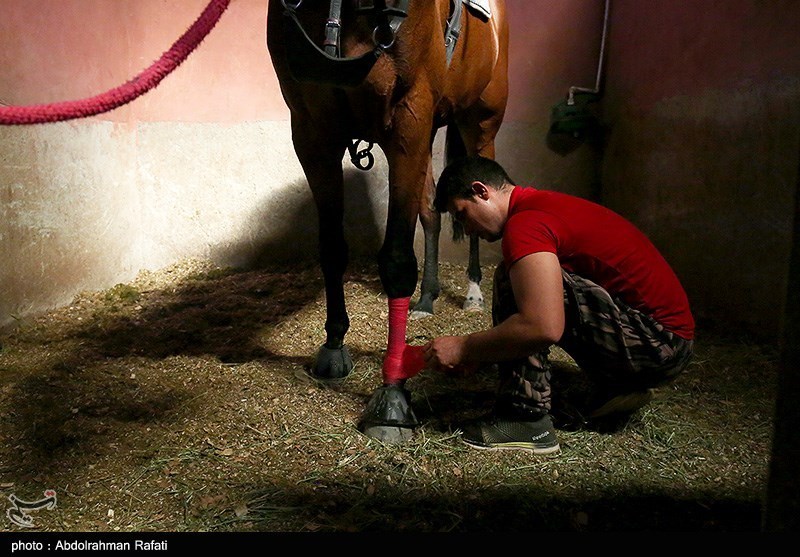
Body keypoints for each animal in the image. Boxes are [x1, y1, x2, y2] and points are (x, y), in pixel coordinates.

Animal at [268, 0, 506, 440]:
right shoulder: (312, 134)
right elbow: (332, 249)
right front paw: (333, 346)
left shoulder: (409, 122)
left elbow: (396, 260)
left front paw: (392, 396)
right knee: (430, 211)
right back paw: (427, 298)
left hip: (478, 124)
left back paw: (472, 292)